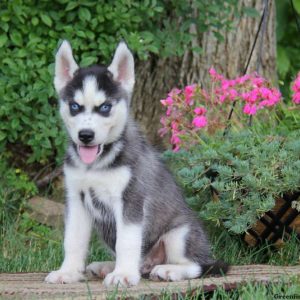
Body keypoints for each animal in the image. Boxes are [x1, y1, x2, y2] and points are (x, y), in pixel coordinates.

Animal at [44, 40, 227, 286]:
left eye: (105, 107)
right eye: (75, 106)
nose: (85, 135)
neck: (97, 164)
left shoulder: (130, 200)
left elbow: (127, 242)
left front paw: (122, 274)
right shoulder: (76, 199)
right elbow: (73, 240)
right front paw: (69, 272)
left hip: (180, 233)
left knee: (197, 265)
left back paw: (168, 270)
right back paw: (108, 266)